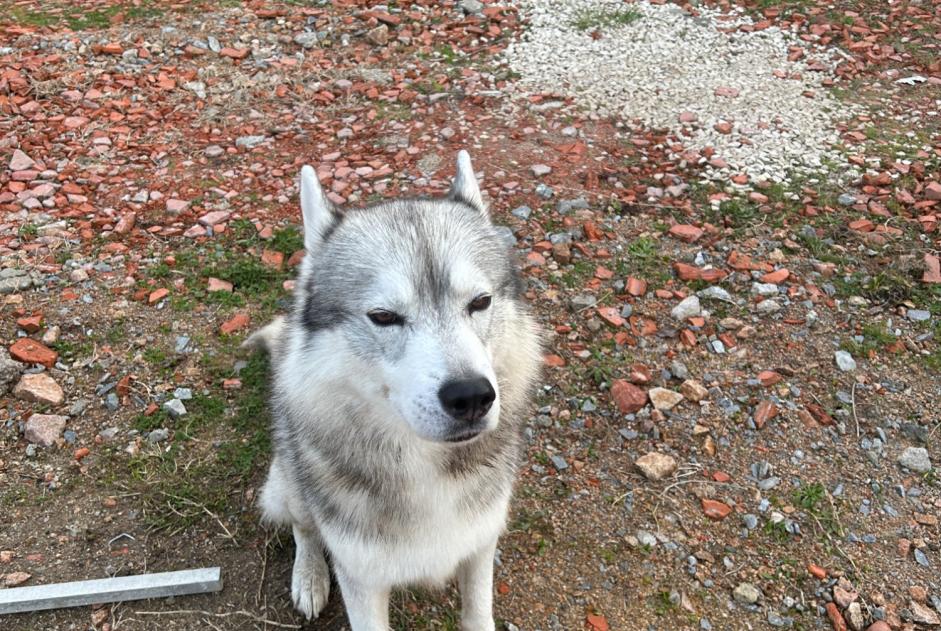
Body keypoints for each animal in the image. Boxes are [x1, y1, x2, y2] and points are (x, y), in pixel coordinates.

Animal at [248, 151, 544, 628]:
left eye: (480, 302)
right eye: (384, 316)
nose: (471, 397)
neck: (427, 470)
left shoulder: (481, 544)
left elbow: (478, 614)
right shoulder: (361, 578)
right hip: (288, 485)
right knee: (304, 528)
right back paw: (309, 576)